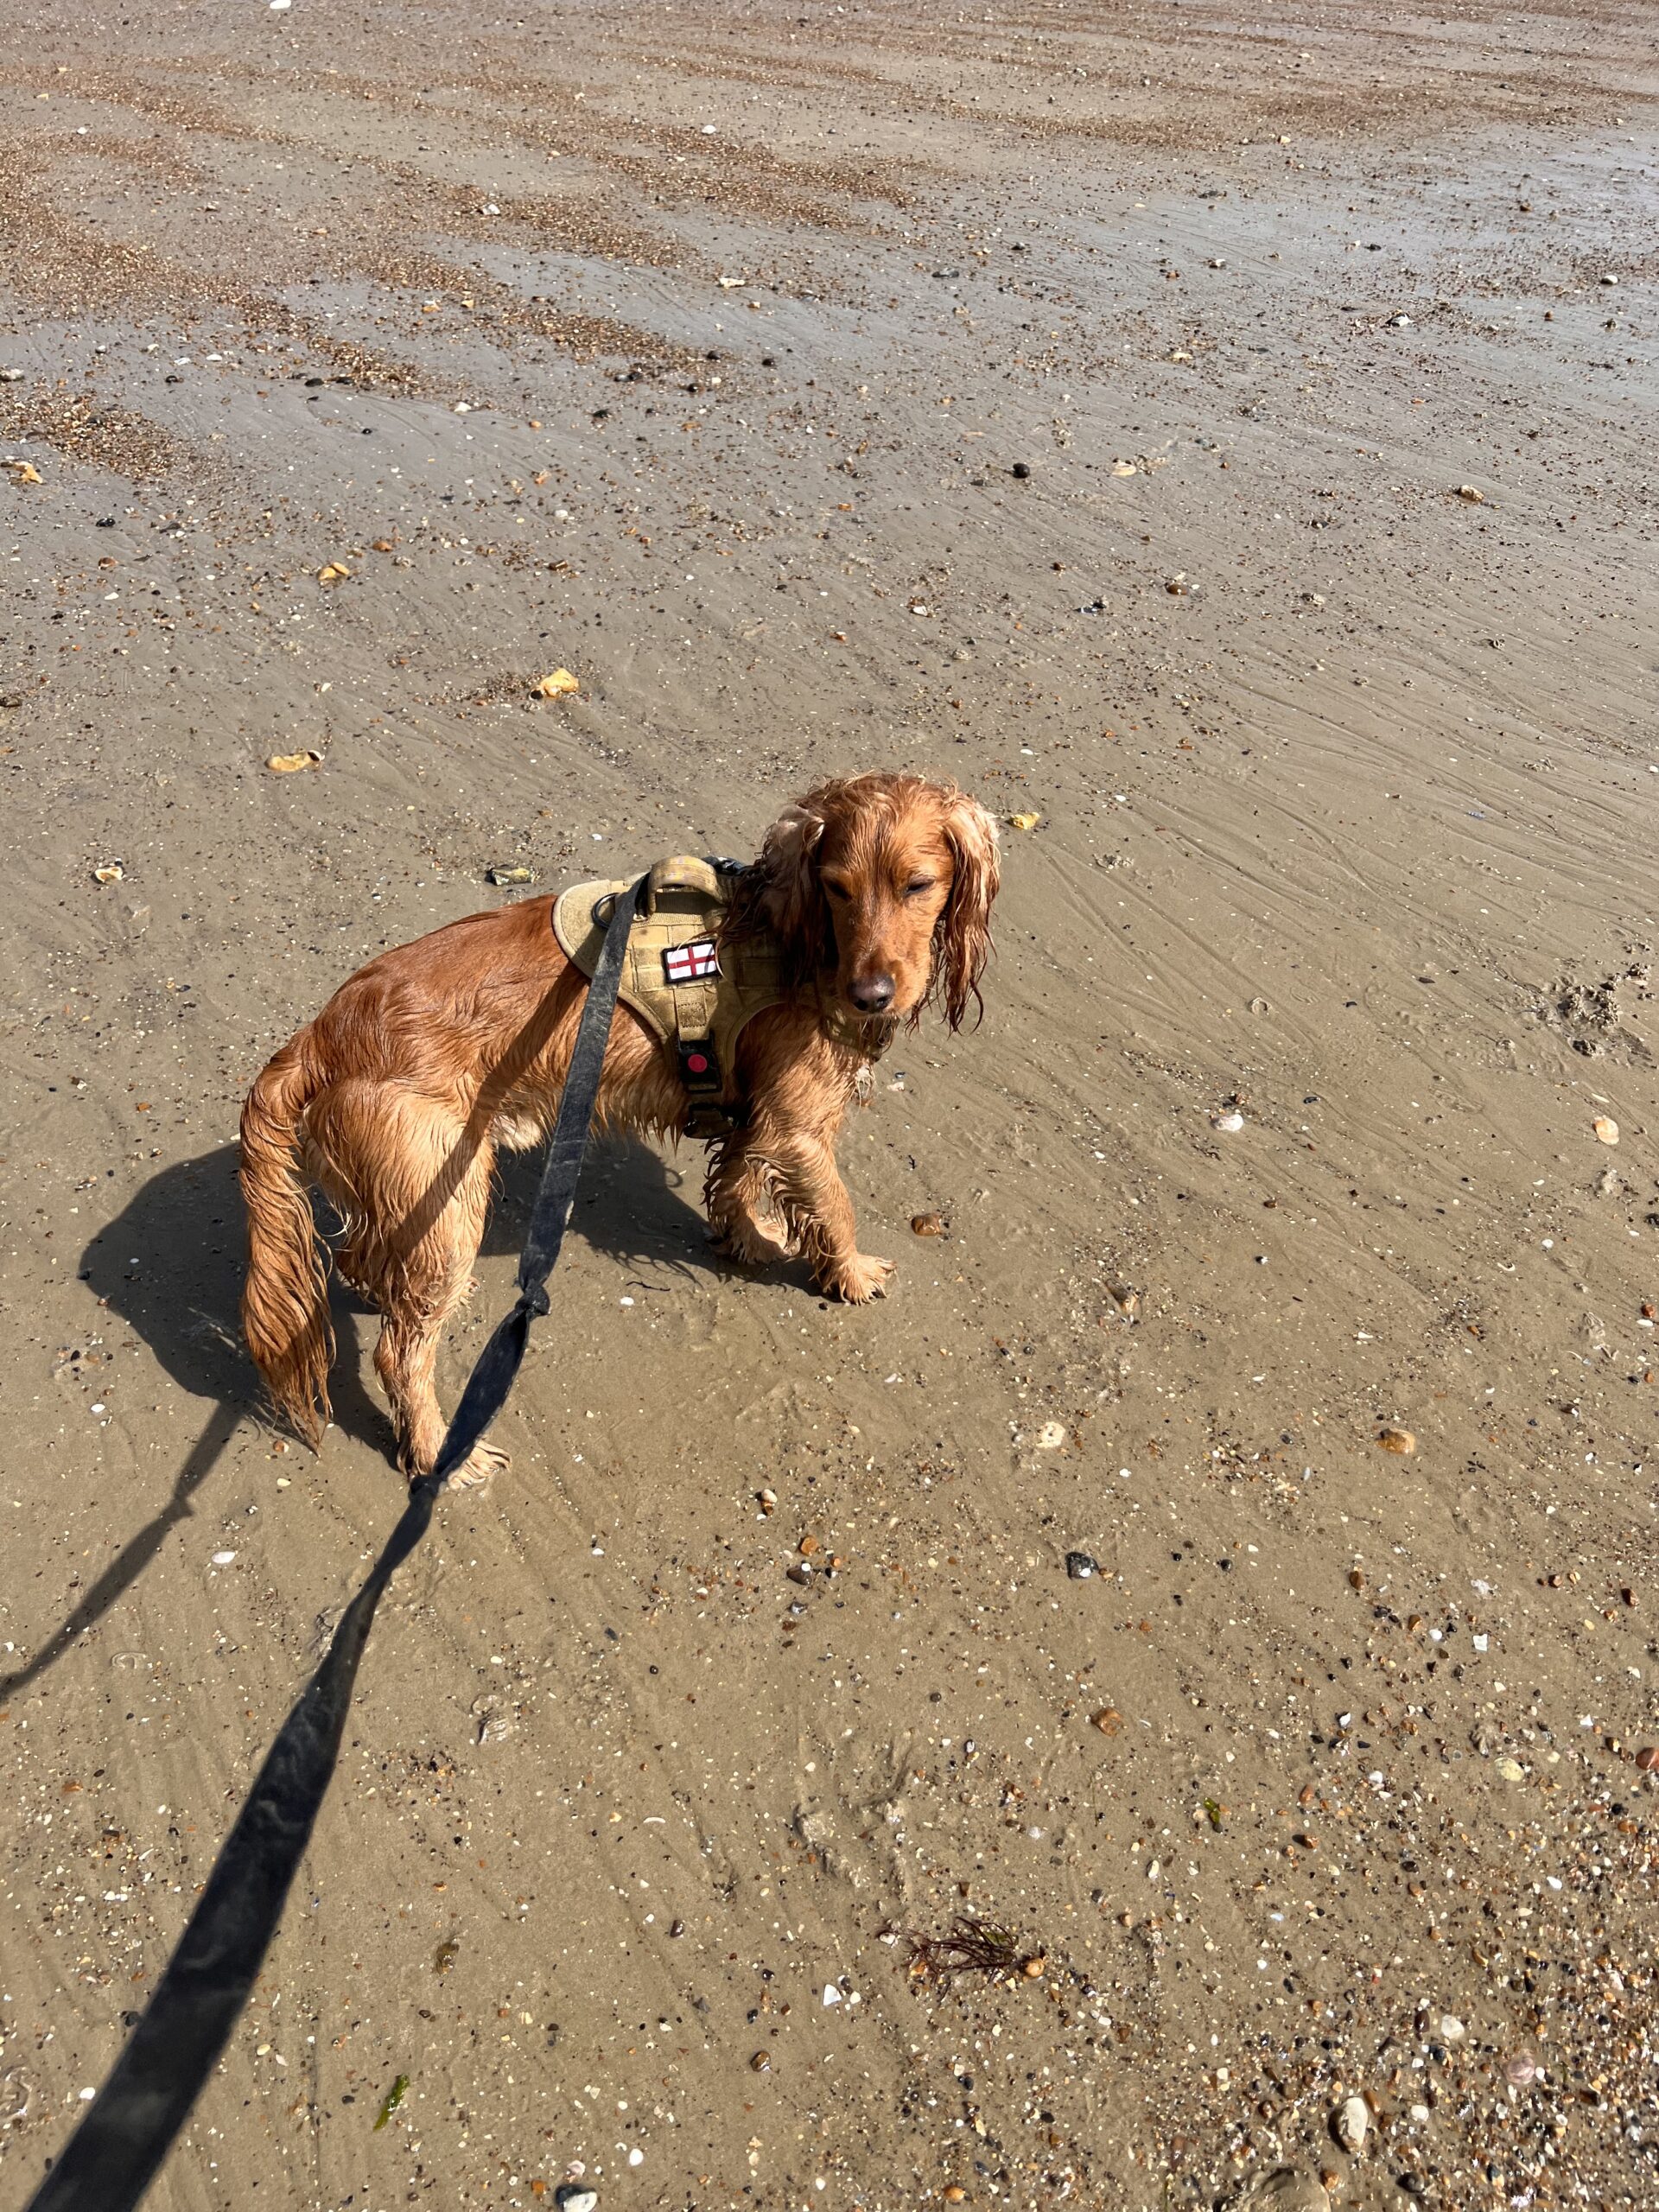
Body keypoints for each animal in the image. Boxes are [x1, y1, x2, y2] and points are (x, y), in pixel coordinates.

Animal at [239, 771, 1000, 1482]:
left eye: (918, 885)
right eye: (837, 888)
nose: (870, 995)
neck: (794, 942)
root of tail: (321, 1036)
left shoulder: (754, 1109)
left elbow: (738, 1178)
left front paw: (748, 1238)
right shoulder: (797, 1125)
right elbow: (833, 1206)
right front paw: (852, 1272)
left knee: (362, 1259)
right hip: (448, 1199)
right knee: (399, 1352)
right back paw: (437, 1453)